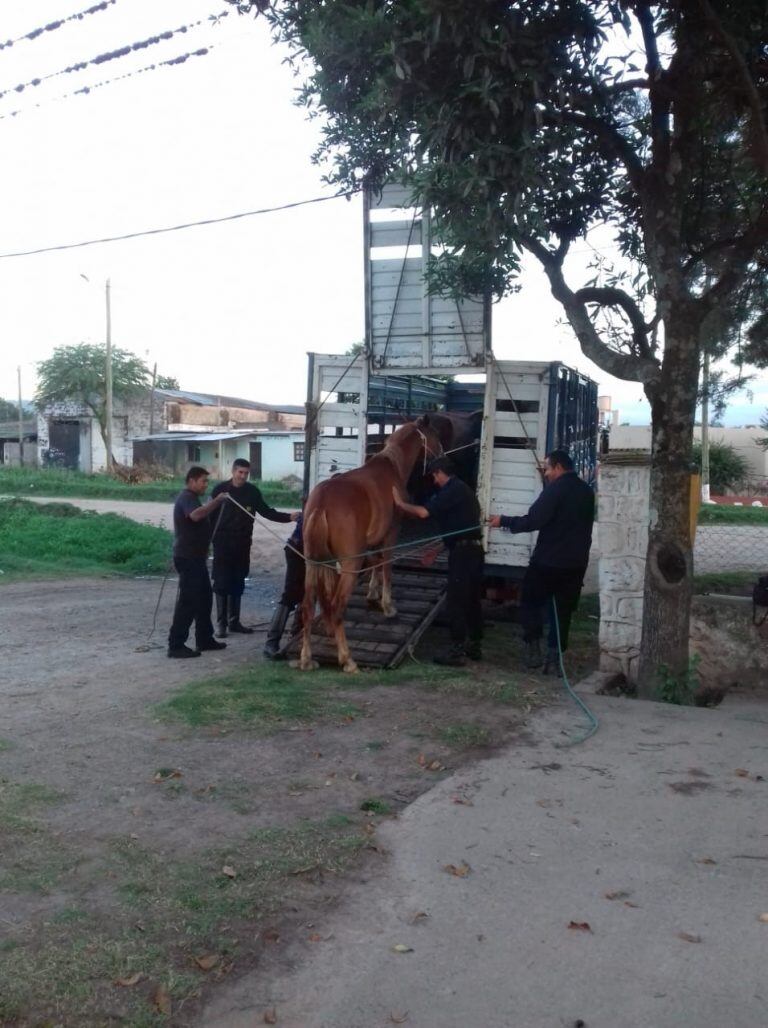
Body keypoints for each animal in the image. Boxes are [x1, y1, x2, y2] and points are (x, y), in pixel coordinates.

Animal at [300, 417, 444, 674]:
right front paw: (388, 606)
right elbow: (386, 567)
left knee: (307, 607)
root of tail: (322, 503)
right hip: (349, 564)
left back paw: (307, 659)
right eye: (435, 433)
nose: (443, 453)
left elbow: (375, 564)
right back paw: (347, 660)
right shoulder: (390, 535)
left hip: (313, 563)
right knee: (337, 607)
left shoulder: (373, 542)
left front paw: (372, 595)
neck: (392, 467)